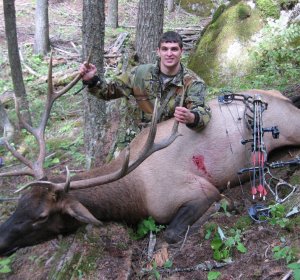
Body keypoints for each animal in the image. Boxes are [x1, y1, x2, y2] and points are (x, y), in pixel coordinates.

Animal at [0, 55, 300, 256]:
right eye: (19, 203)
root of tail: (285, 99)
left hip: (291, 127)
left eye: (41, 216)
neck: (135, 195)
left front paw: (224, 207)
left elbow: (172, 233)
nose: (1, 240)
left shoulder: (198, 190)